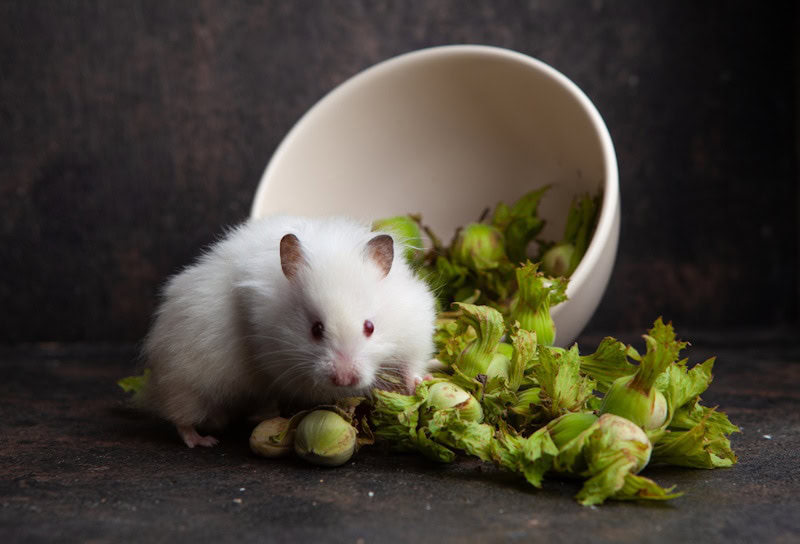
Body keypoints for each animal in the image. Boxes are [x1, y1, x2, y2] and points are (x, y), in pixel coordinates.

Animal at [141, 215, 437, 448]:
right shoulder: (279, 361)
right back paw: (203, 441)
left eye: (370, 327)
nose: (343, 379)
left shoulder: (415, 327)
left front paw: (420, 383)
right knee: (180, 417)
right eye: (316, 329)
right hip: (184, 382)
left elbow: (412, 364)